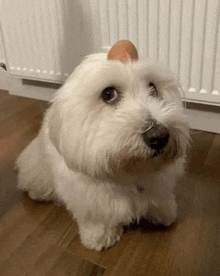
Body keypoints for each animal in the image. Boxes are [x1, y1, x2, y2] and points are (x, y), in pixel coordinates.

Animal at [16, 41, 190, 250]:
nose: (160, 136)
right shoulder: (90, 197)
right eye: (108, 94)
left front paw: (164, 212)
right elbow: (97, 218)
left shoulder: (160, 183)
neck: (131, 170)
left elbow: (161, 198)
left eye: (153, 87)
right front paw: (99, 237)